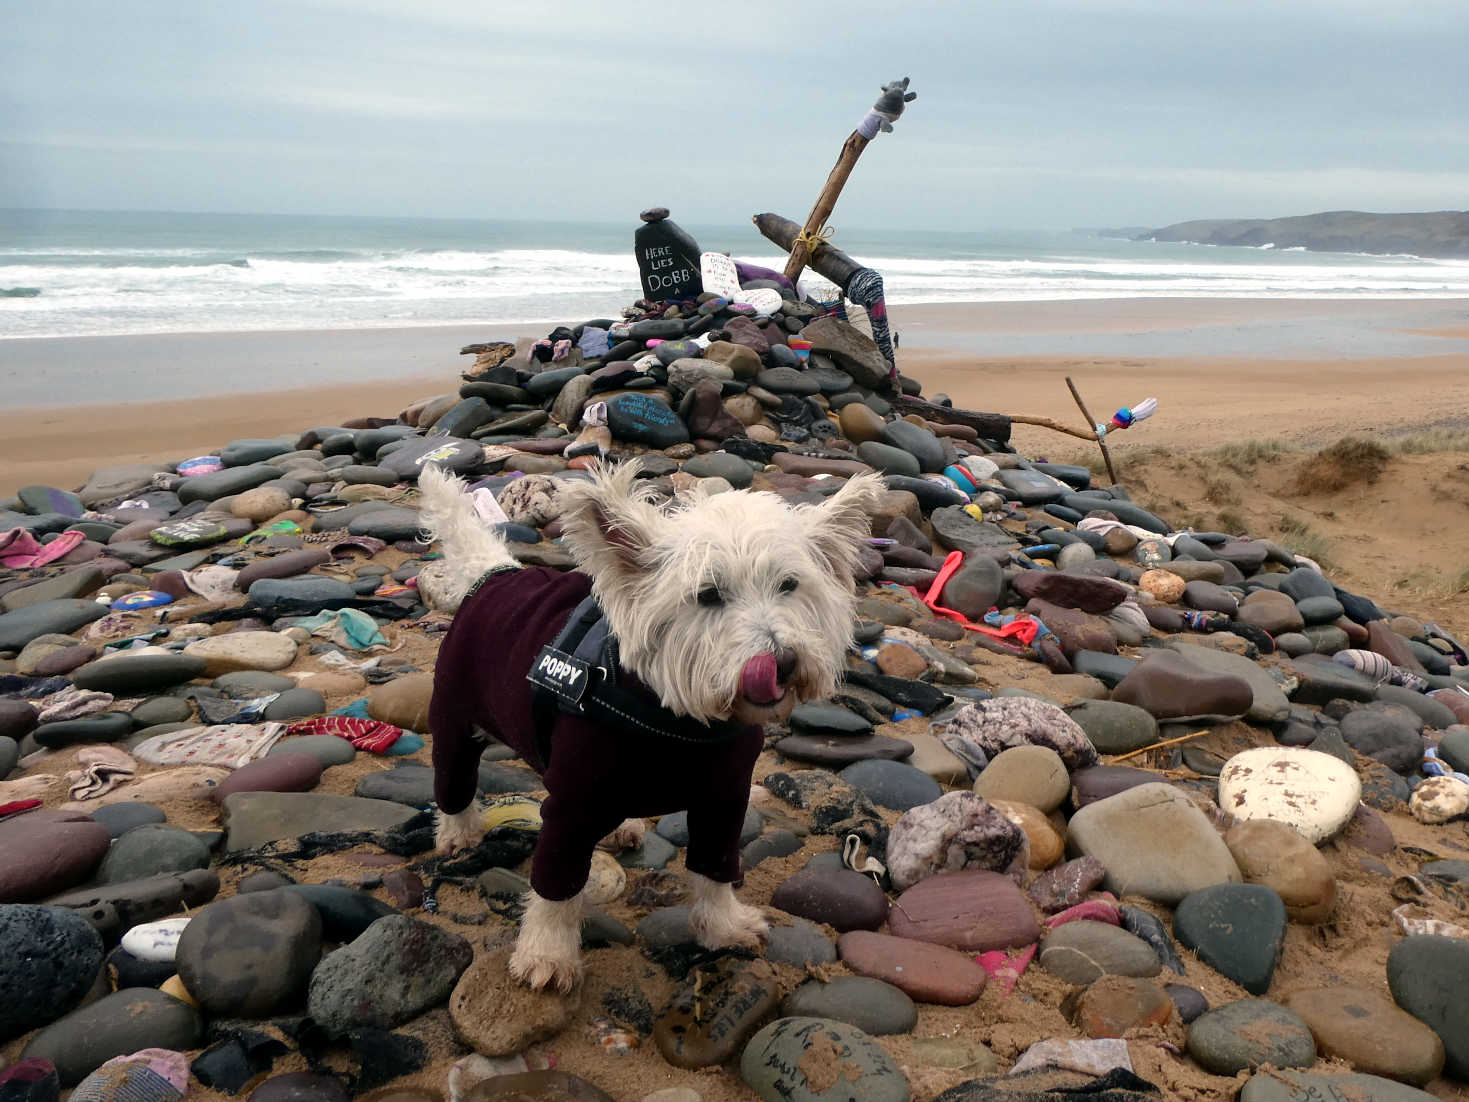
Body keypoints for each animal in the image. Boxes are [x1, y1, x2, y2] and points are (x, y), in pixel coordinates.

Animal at [414, 461, 875, 999]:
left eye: (789, 585)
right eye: (708, 595)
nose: (782, 662)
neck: (677, 723)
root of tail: (497, 573)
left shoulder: (724, 798)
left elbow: (715, 865)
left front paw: (723, 926)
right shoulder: (572, 806)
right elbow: (556, 883)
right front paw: (547, 954)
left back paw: (623, 827)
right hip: (456, 718)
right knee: (454, 782)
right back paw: (458, 832)